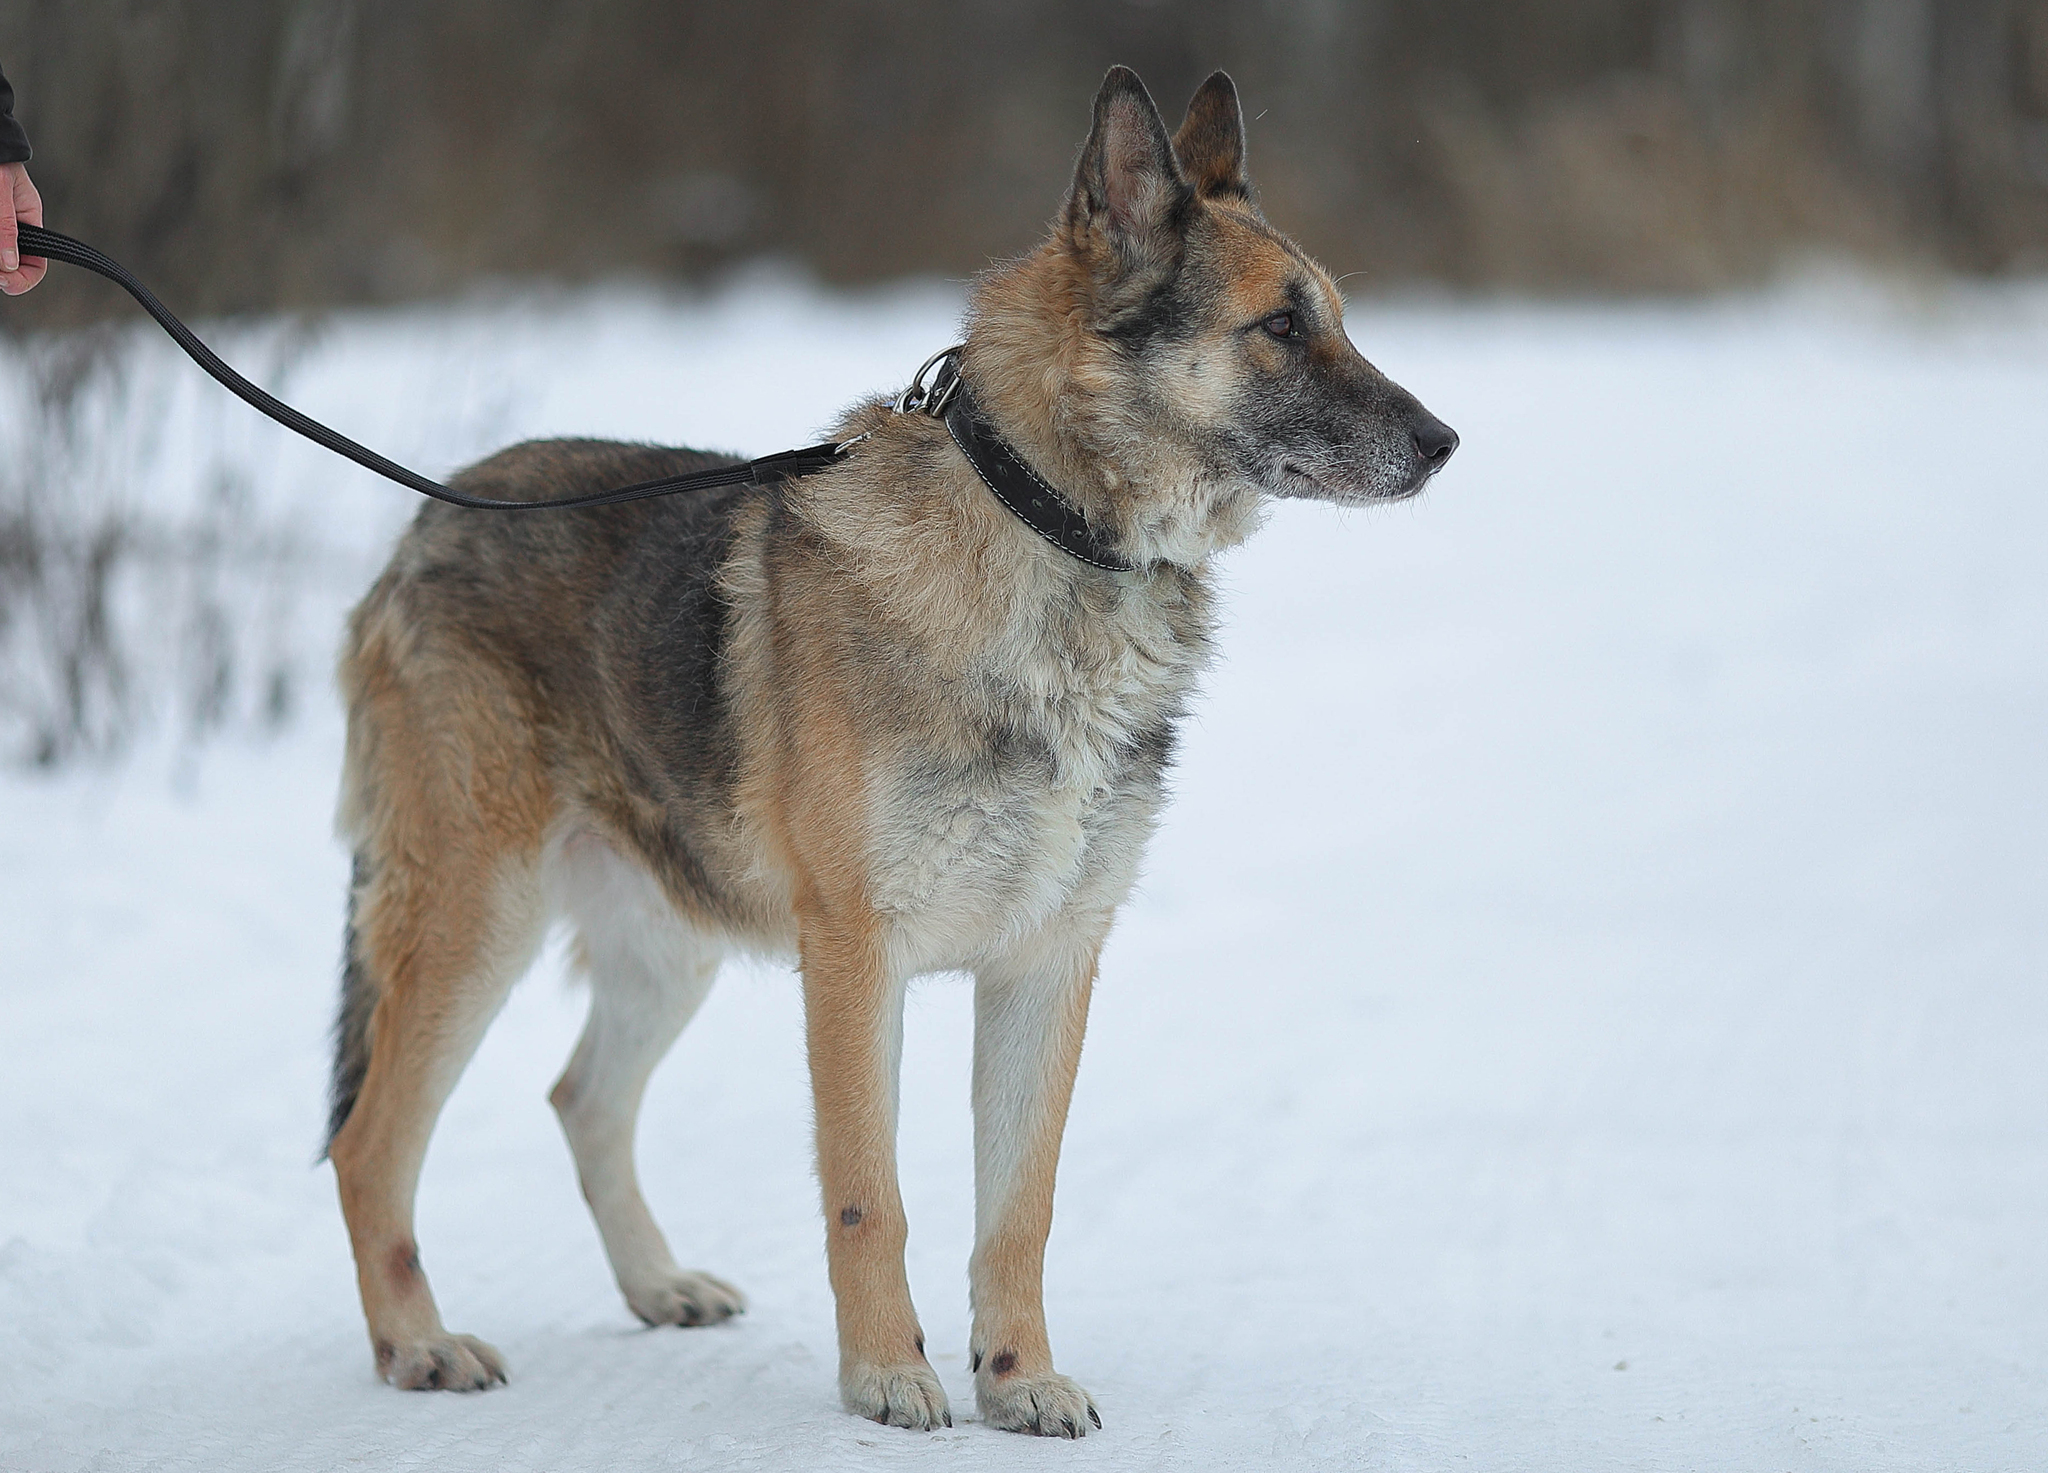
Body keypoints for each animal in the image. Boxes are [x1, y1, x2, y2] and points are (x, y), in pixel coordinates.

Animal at [327, 63, 1449, 1434]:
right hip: (477, 922)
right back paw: (416, 1345)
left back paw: (655, 1288)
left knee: (580, 1101)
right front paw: (884, 1377)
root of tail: (421, 530)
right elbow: (872, 1197)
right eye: (1279, 328)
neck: (1050, 535)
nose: (1443, 442)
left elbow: (1017, 1211)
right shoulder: (858, 963)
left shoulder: (1046, 965)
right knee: (371, 1143)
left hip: (667, 944)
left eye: (1334, 321)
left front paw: (1018, 1380)